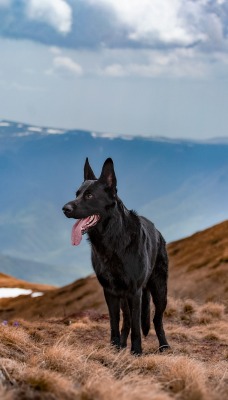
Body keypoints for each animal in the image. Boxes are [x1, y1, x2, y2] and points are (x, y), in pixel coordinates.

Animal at [62, 158, 169, 354]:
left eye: (89, 196)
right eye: (77, 194)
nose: (64, 208)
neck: (112, 239)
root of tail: (157, 231)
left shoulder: (134, 291)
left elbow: (136, 326)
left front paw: (136, 352)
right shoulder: (110, 291)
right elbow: (114, 322)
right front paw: (115, 347)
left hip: (159, 290)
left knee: (156, 319)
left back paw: (164, 345)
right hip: (124, 297)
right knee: (126, 320)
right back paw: (122, 345)